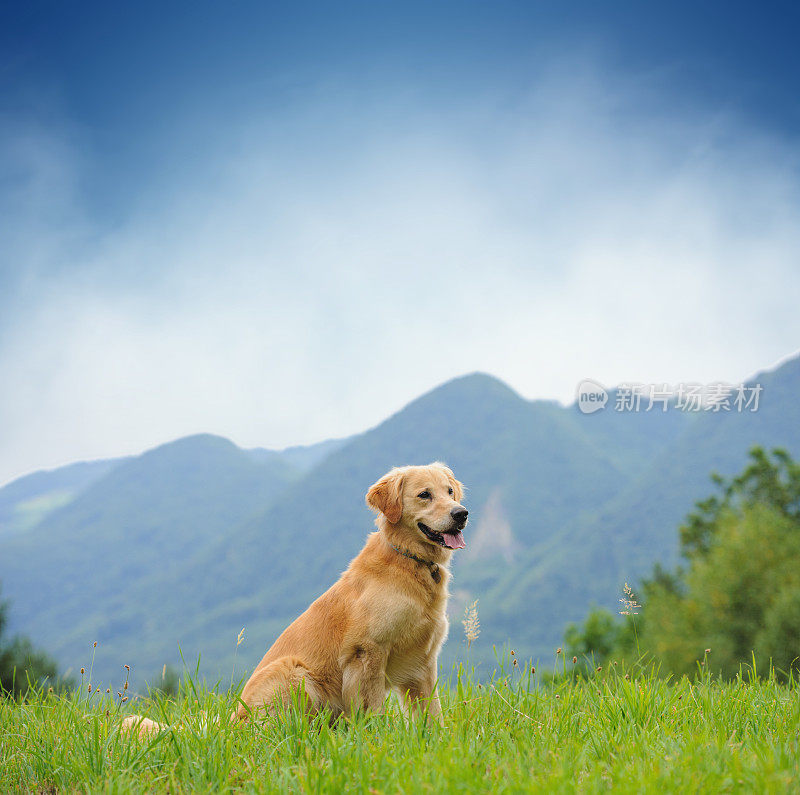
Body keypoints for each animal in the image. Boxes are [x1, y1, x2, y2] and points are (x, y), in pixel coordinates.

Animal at [122, 464, 466, 736]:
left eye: (450, 492)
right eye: (425, 495)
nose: (461, 513)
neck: (409, 560)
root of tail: (234, 721)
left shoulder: (423, 660)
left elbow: (432, 711)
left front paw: (437, 741)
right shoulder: (368, 651)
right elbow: (372, 708)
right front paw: (377, 740)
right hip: (295, 671)